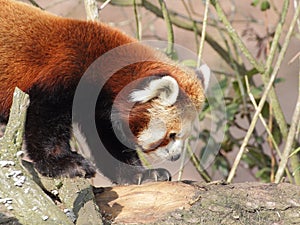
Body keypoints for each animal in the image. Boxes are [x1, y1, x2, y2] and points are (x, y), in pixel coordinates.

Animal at [0, 0, 209, 183]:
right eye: (171, 134)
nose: (175, 156)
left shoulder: (99, 109)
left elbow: (108, 141)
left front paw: (141, 174)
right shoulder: (62, 74)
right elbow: (45, 121)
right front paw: (66, 164)